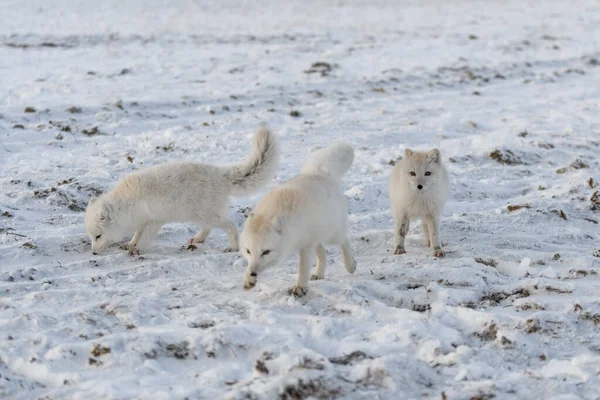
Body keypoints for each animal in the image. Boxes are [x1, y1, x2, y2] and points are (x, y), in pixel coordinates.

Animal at [84, 125, 278, 255]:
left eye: (98, 236)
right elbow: (137, 235)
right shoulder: (141, 221)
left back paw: (232, 247)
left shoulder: (154, 221)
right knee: (207, 229)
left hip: (208, 215)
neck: (126, 203)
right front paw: (130, 244)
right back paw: (198, 239)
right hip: (202, 215)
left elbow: (145, 238)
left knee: (230, 226)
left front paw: (137, 249)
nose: (93, 252)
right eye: (92, 237)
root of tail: (220, 174)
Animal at [239, 142, 356, 296]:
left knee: (345, 241)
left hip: (332, 234)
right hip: (316, 237)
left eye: (266, 252)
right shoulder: (307, 242)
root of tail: (319, 172)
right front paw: (248, 279)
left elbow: (303, 268)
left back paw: (350, 265)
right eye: (248, 251)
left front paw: (300, 287)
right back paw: (318, 273)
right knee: (323, 253)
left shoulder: (306, 246)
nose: (253, 272)